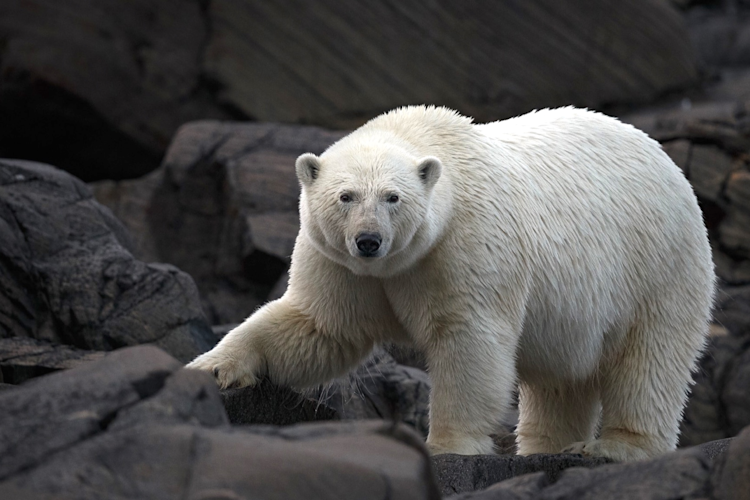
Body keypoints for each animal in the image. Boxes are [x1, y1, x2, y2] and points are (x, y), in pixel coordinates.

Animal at [187, 105, 715, 461]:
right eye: (346, 196)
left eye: (393, 197)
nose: (369, 240)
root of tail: (667, 162)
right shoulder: (340, 263)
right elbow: (319, 325)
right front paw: (213, 367)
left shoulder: (465, 242)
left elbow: (469, 339)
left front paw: (449, 446)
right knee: (561, 378)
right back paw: (545, 446)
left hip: (657, 264)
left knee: (649, 357)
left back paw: (613, 447)